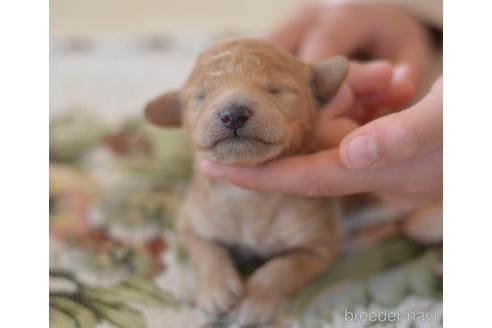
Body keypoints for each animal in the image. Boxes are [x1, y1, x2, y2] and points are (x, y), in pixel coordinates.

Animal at [144, 37, 348, 326]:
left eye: (275, 90)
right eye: (201, 96)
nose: (233, 113)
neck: (249, 196)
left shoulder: (319, 247)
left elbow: (283, 268)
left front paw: (254, 302)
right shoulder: (188, 224)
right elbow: (206, 251)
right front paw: (216, 290)